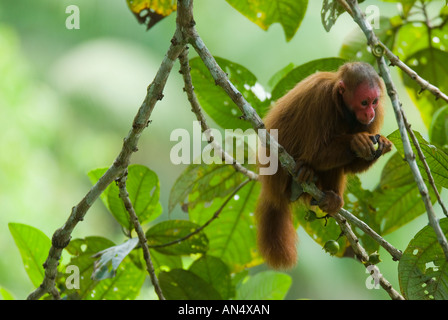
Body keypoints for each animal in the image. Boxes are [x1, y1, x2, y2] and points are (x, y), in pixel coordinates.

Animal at [256, 61, 392, 268]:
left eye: (374, 102)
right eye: (364, 102)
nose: (370, 112)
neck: (342, 107)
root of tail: (273, 194)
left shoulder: (376, 117)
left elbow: (351, 167)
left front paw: (381, 145)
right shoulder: (320, 99)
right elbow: (316, 152)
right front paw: (357, 142)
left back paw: (330, 198)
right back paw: (304, 174)